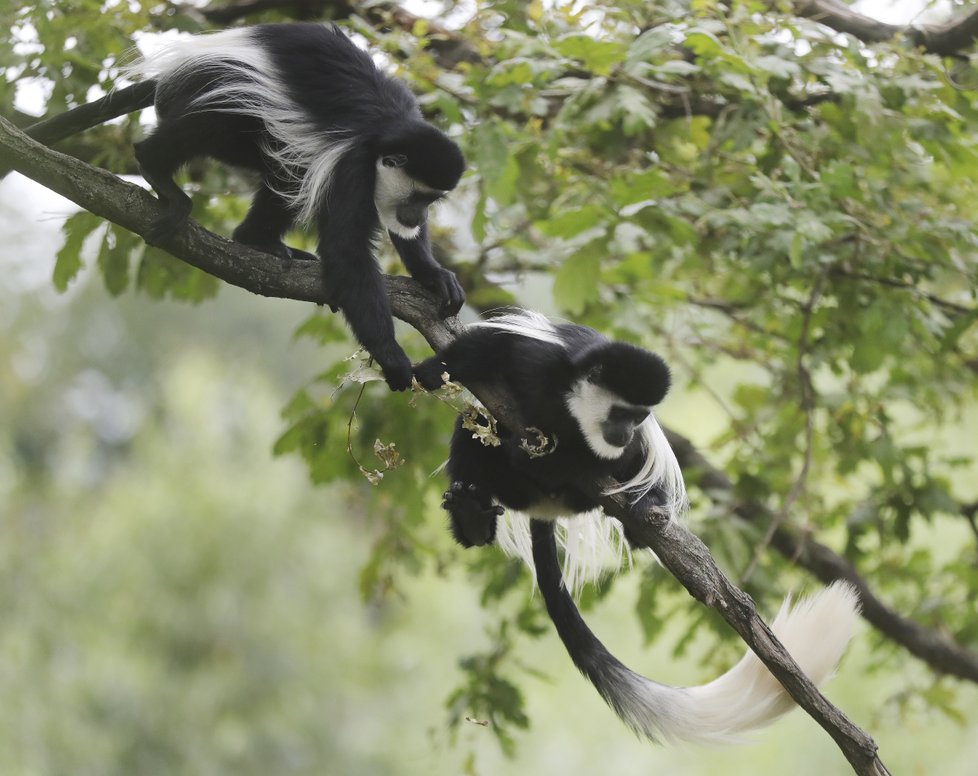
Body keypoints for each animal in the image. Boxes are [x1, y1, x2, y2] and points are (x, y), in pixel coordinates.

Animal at [116, 25, 464, 392]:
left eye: (431, 201)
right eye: (417, 198)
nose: (419, 216)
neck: (386, 133)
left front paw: (434, 276)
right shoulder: (353, 168)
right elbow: (346, 251)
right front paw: (391, 357)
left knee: (288, 172)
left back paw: (256, 240)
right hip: (219, 87)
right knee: (213, 120)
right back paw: (154, 166)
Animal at [416, 310, 856, 744]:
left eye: (639, 416)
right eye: (620, 412)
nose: (626, 431)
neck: (572, 412)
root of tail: (545, 508)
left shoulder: (626, 443)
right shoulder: (535, 359)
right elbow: (479, 350)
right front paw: (422, 370)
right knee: (473, 427)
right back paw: (474, 517)